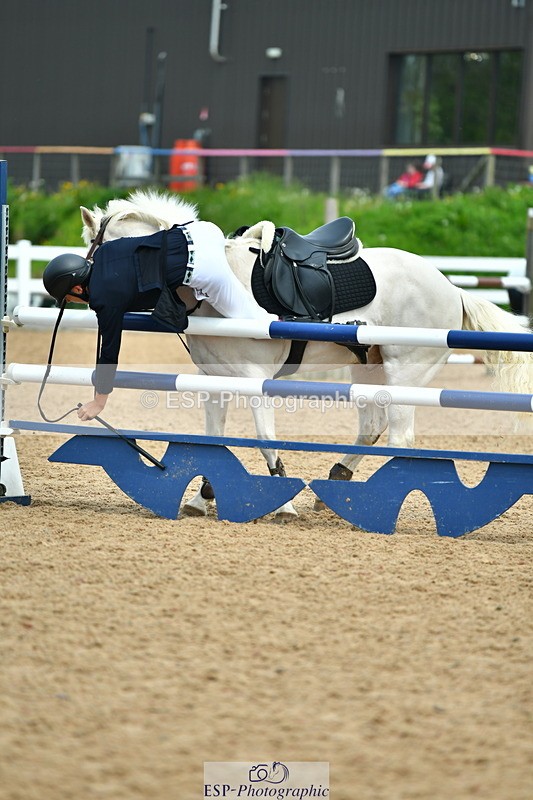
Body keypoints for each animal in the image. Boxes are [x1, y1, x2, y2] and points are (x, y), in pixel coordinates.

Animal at [80, 189, 533, 519]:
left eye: (99, 252)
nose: (90, 296)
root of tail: (450, 287)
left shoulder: (253, 380)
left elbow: (265, 439)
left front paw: (283, 502)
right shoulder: (212, 381)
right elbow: (212, 439)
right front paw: (203, 495)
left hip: (406, 372)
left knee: (401, 436)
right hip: (368, 369)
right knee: (373, 426)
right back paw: (341, 478)